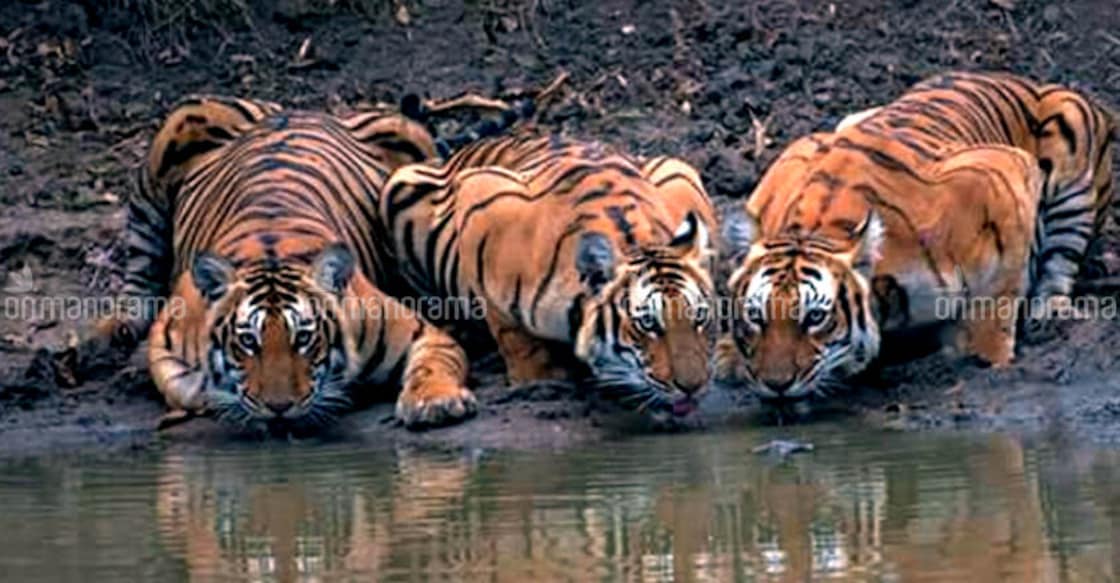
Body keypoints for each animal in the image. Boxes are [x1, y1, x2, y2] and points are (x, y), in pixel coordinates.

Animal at [88, 94, 483, 431]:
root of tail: (293, 108)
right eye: (248, 341)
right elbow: (185, 385)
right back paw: (110, 331)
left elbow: (436, 363)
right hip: (179, 128)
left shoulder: (419, 333)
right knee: (139, 266)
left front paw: (435, 403)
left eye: (304, 338)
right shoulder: (167, 338)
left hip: (411, 136)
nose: (279, 408)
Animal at [381, 134, 719, 416]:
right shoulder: (481, 198)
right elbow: (512, 333)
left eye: (699, 317)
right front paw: (539, 381)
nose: (693, 387)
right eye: (647, 324)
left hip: (676, 167)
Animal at [718, 71, 1115, 403]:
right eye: (755, 315)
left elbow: (996, 299)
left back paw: (1048, 314)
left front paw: (985, 359)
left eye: (815, 317)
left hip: (1072, 136)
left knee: (1061, 262)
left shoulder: (1002, 176)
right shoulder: (794, 157)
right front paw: (730, 354)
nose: (776, 384)